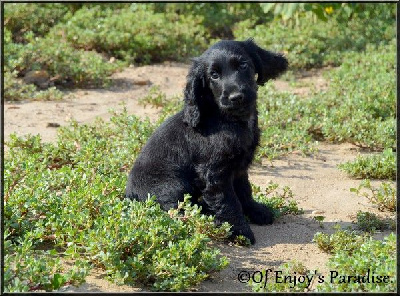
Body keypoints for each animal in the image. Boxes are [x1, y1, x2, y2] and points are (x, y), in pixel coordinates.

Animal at [126, 39, 286, 243]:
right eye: (214, 75)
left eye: (243, 65)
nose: (236, 97)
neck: (229, 119)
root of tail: (129, 197)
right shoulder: (214, 173)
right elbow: (228, 202)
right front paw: (239, 232)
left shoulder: (239, 168)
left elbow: (244, 191)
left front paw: (256, 211)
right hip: (172, 185)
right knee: (176, 209)